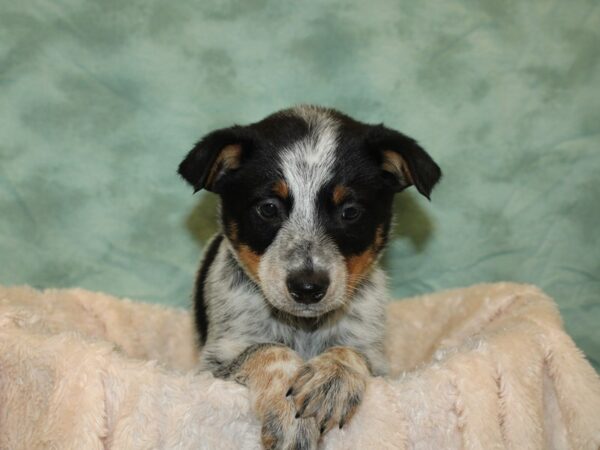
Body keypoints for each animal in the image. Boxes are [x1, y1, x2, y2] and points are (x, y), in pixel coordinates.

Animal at [178, 104, 440, 446]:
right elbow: (268, 350)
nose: (307, 287)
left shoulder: (377, 360)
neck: (304, 327)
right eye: (268, 208)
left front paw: (332, 381)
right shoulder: (213, 364)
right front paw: (291, 416)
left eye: (350, 212)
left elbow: (349, 351)